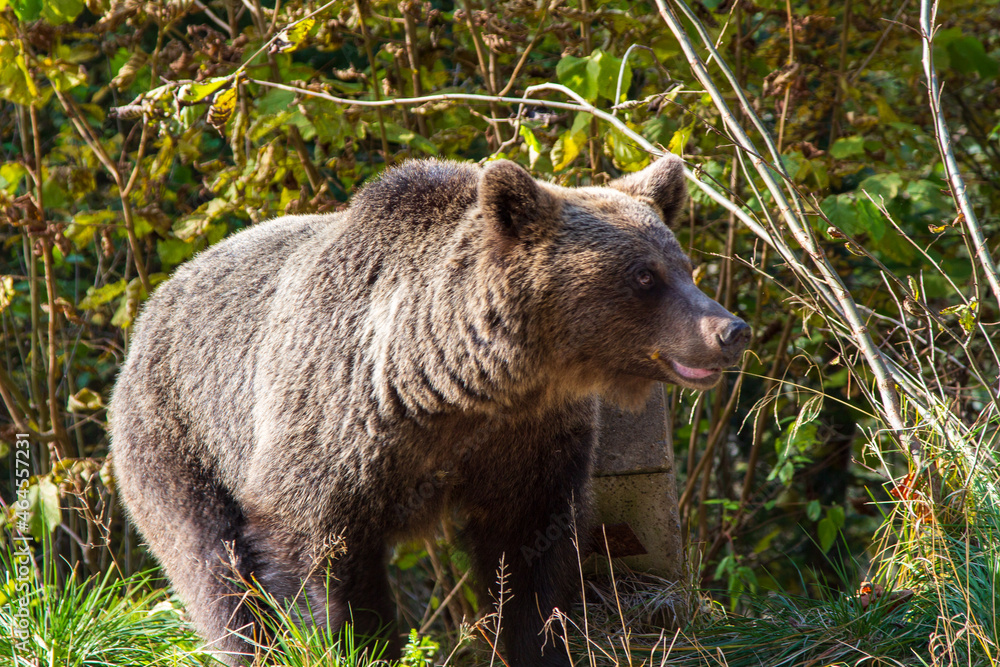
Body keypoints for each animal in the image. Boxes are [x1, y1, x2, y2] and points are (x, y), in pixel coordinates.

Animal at [111, 154, 752, 664]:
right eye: (645, 276)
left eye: (684, 267)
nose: (731, 329)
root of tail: (153, 306)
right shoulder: (335, 430)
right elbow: (317, 554)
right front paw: (356, 643)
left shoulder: (526, 443)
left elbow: (531, 558)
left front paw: (539, 642)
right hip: (178, 441)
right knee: (214, 570)